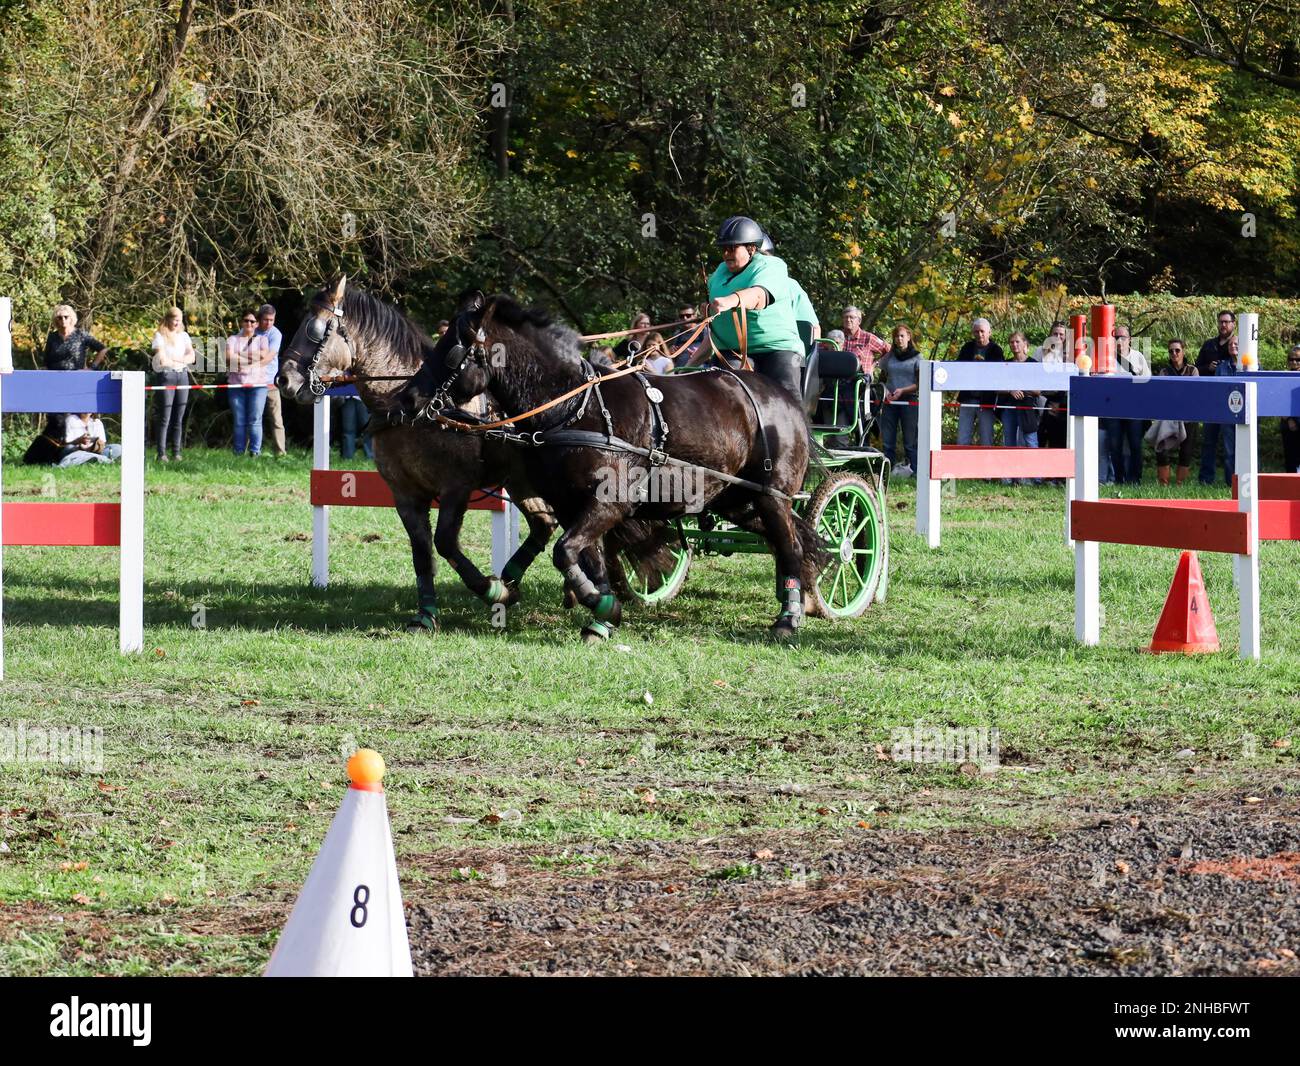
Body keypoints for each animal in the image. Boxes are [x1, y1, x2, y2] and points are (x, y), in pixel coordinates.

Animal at [277, 277, 675, 631]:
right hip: (522, 481)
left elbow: (445, 542)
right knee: (547, 525)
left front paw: (491, 590)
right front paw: (427, 616)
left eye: (315, 329)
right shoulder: (405, 494)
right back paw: (541, 584)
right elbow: (422, 552)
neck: (408, 407)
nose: (284, 381)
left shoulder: (457, 486)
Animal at [394, 290, 829, 642]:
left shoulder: (610, 503)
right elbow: (587, 559)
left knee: (789, 544)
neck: (574, 407)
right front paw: (603, 614)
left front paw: (601, 606)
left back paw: (789, 616)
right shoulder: (572, 507)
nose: (406, 398)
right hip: (735, 501)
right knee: (787, 540)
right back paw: (801, 595)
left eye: (452, 349)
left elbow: (564, 552)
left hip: (773, 496)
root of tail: (785, 397)